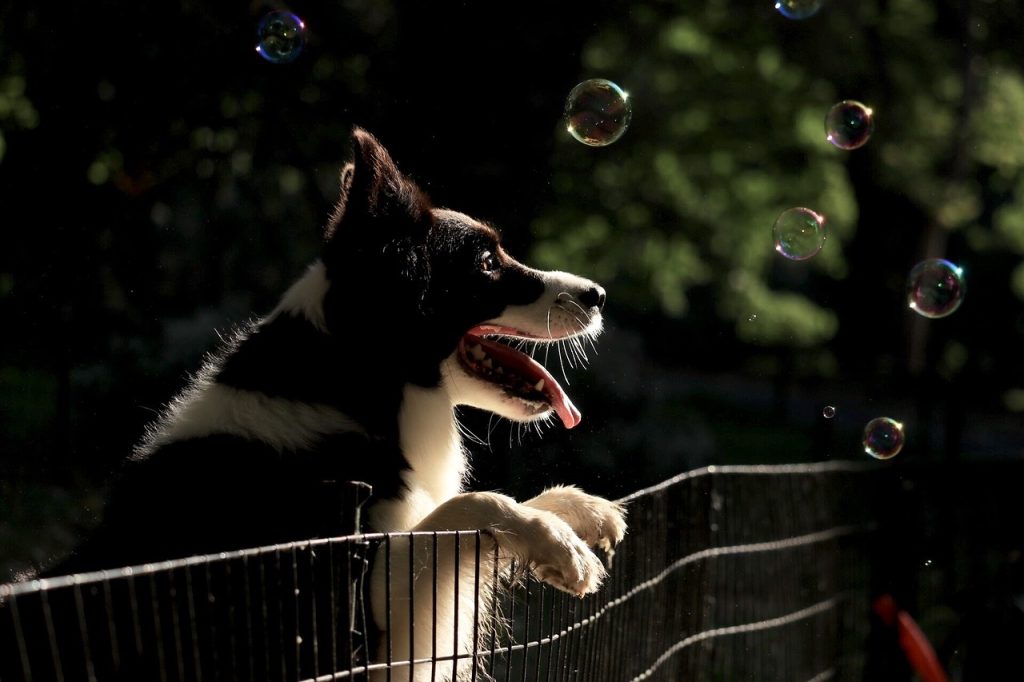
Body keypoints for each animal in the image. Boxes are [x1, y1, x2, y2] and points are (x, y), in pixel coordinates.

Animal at [24, 129, 626, 679]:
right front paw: (555, 542)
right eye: (485, 262)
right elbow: (469, 505)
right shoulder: (353, 617)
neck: (357, 384)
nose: (598, 295)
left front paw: (577, 510)